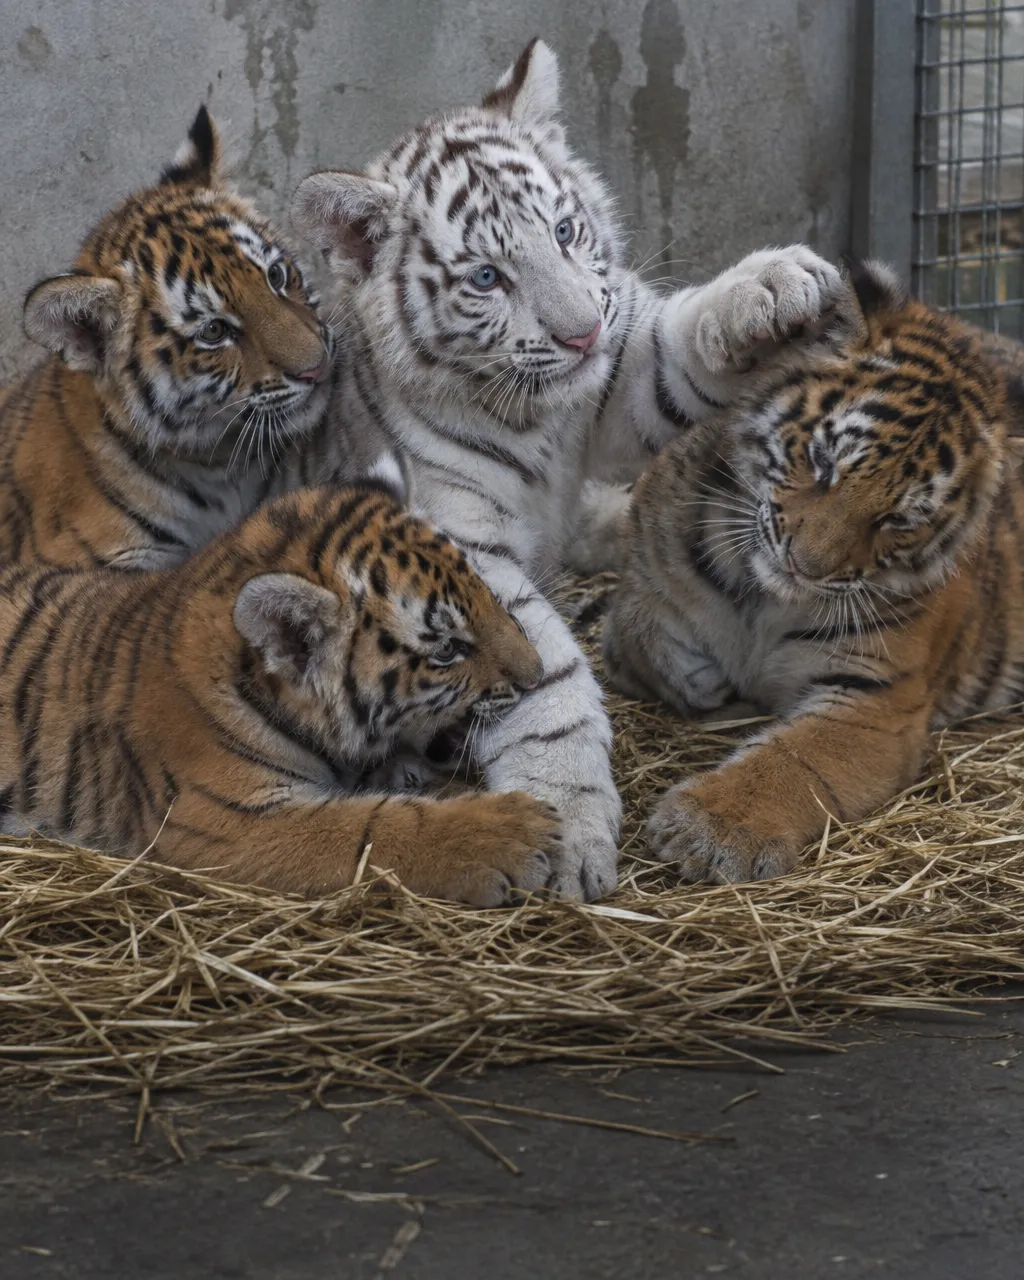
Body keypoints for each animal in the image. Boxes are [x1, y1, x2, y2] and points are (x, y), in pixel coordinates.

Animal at [0, 465, 561, 905]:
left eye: (486, 594)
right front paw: (514, 835)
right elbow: (370, 830)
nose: (536, 675)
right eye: (446, 649)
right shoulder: (223, 823)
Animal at [287, 37, 844, 901]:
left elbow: (675, 346)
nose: (581, 335)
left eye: (566, 229)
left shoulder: (625, 378)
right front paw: (568, 818)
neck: (537, 418)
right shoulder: (454, 542)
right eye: (486, 278)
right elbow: (546, 679)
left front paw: (773, 284)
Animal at [603, 259, 1024, 884]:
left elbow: (795, 758)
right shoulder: (641, 586)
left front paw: (712, 830)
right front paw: (699, 680)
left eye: (898, 519)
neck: (762, 601)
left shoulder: (877, 698)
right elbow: (640, 631)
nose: (805, 565)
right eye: (823, 463)